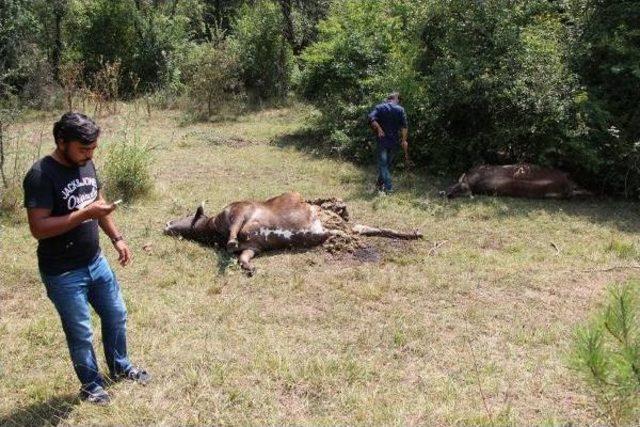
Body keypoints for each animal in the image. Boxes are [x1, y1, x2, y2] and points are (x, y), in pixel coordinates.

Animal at [162, 192, 422, 276]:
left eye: (187, 213)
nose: (166, 223)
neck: (214, 230)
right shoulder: (254, 247)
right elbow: (243, 257)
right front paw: (249, 268)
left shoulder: (238, 210)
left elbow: (235, 234)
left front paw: (231, 242)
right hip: (355, 228)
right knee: (371, 229)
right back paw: (414, 233)